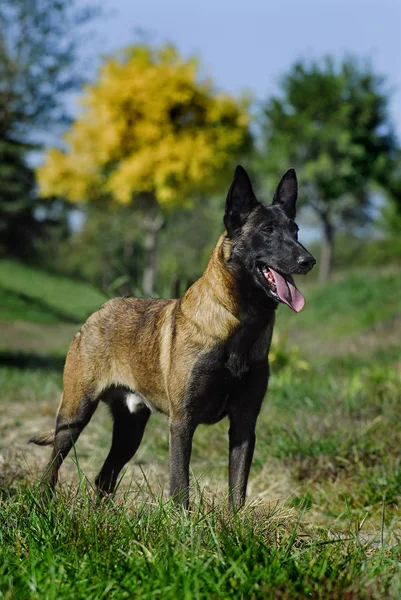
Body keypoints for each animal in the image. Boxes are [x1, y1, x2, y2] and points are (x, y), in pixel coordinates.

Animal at [28, 166, 316, 508]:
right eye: (268, 230)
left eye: (295, 230)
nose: (308, 261)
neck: (239, 322)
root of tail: (100, 311)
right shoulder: (182, 422)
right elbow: (180, 486)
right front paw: (184, 522)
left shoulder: (244, 424)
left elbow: (237, 490)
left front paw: (234, 522)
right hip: (75, 415)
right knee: (51, 470)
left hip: (130, 429)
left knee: (104, 478)